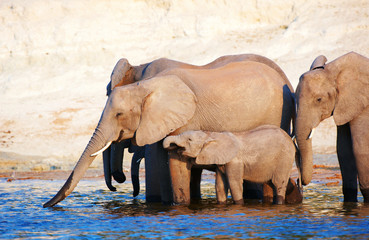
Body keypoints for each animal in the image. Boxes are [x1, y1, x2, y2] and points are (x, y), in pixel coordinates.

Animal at [163, 125, 300, 204]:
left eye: (189, 140)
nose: (172, 147)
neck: (212, 134)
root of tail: (290, 138)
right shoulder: (221, 161)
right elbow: (219, 185)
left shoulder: (235, 161)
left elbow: (234, 184)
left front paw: (238, 205)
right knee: (272, 182)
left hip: (285, 157)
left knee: (278, 183)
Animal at [294, 51, 369, 202]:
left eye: (319, 99)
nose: (298, 183)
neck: (333, 71)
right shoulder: (345, 105)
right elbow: (343, 150)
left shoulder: (363, 106)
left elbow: (360, 148)